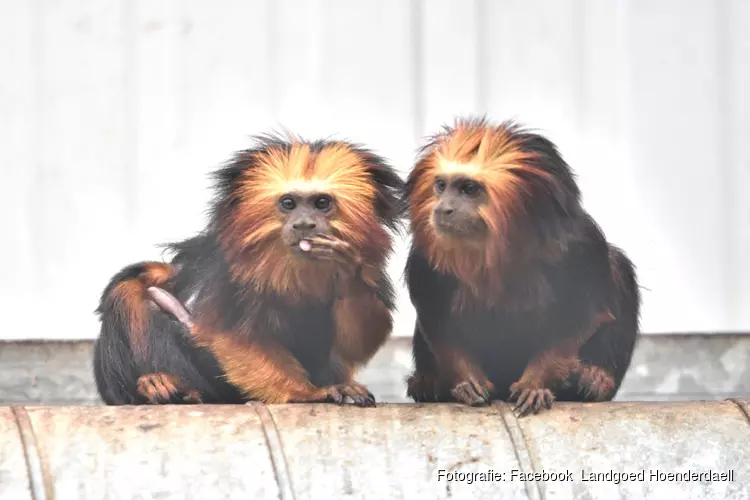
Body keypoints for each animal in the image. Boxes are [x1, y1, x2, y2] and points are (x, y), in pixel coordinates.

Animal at [94, 133, 406, 406]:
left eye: (321, 203)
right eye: (289, 203)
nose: (304, 224)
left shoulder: (371, 266)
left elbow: (357, 343)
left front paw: (347, 272)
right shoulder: (227, 276)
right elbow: (231, 337)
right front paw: (308, 393)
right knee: (130, 290)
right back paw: (163, 387)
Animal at [402, 118, 644, 418]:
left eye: (469, 189)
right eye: (441, 185)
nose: (444, 208)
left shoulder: (581, 245)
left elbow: (577, 320)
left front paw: (534, 385)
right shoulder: (423, 259)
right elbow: (437, 322)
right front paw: (467, 383)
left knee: (618, 266)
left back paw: (597, 379)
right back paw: (430, 384)